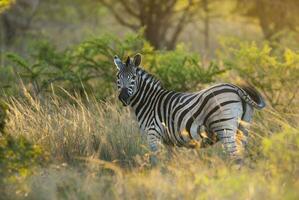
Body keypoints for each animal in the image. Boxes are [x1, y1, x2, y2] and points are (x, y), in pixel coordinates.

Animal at [113, 53, 266, 164]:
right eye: (118, 77)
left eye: (133, 77)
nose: (123, 97)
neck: (149, 101)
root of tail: (236, 88)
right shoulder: (169, 141)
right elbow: (170, 163)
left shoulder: (153, 135)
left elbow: (156, 162)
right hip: (243, 127)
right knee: (241, 155)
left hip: (225, 126)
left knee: (234, 156)